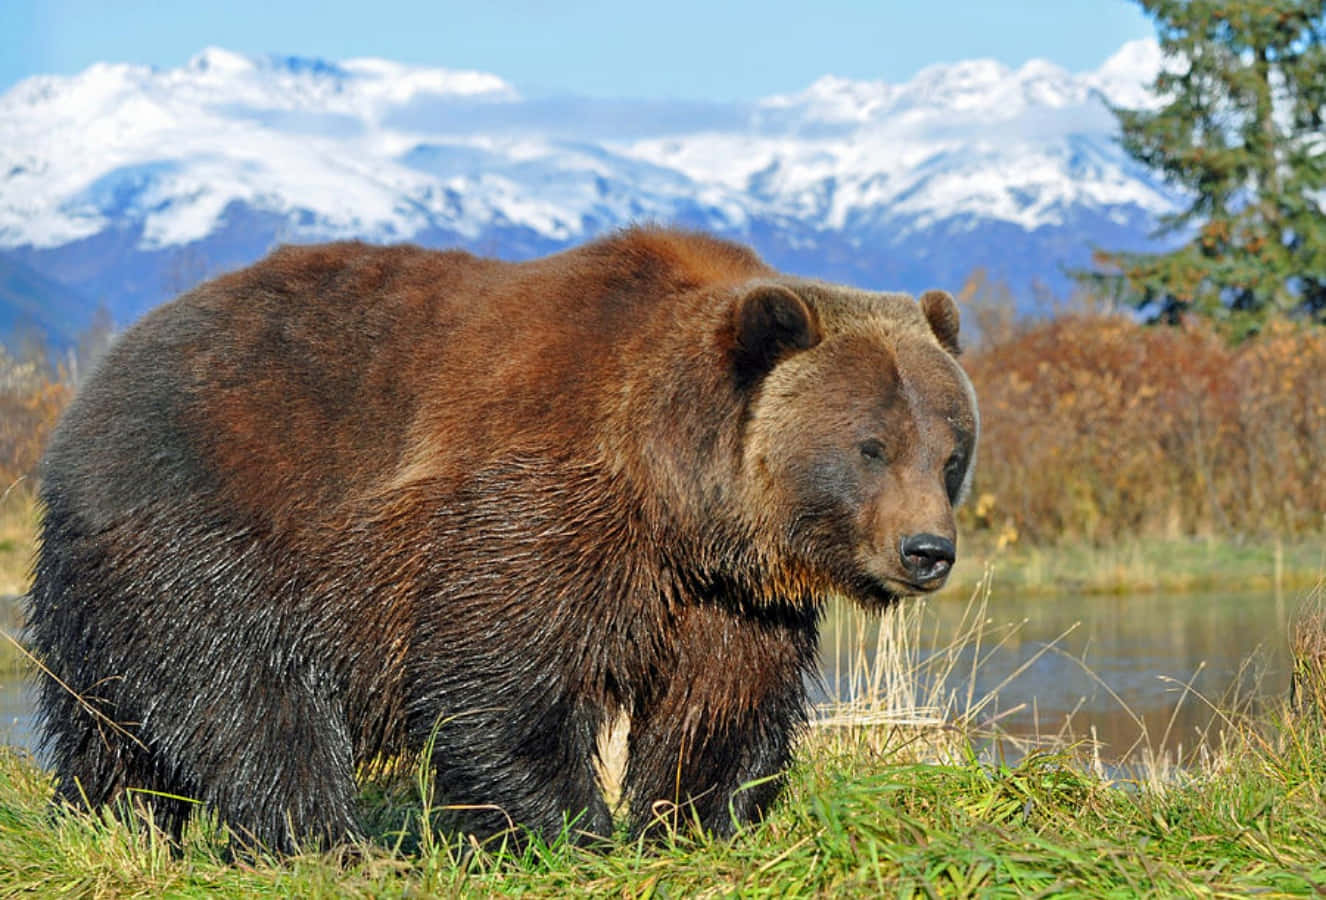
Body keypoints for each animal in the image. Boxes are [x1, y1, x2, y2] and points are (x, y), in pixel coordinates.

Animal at [27, 226, 978, 853]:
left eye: (951, 450)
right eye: (871, 446)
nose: (927, 550)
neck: (676, 497)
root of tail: (91, 391)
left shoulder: (726, 593)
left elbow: (722, 701)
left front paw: (692, 820)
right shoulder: (535, 508)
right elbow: (502, 683)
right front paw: (574, 831)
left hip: (103, 585)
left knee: (105, 725)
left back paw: (111, 822)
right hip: (209, 527)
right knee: (252, 702)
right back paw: (318, 838)